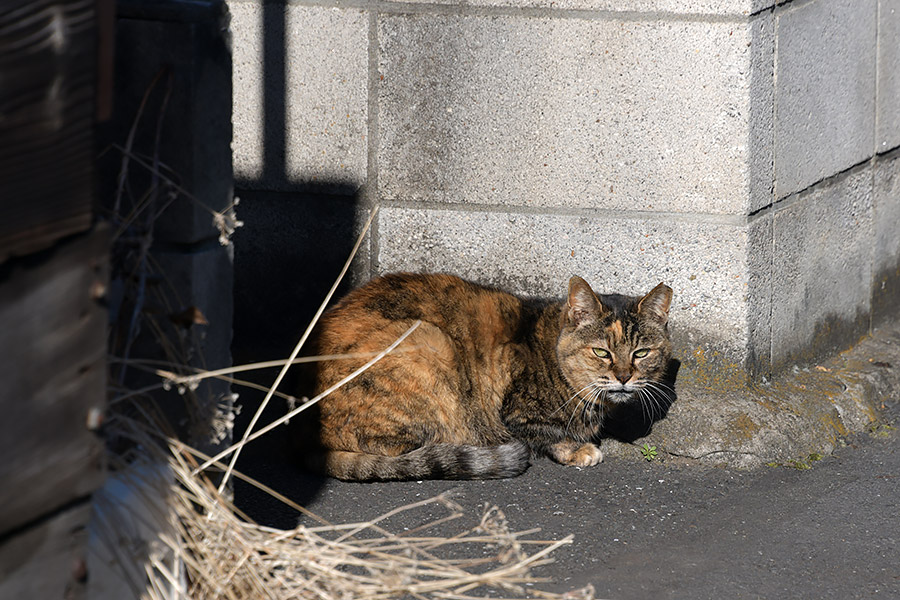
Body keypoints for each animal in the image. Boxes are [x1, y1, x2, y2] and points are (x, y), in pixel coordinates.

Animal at [290, 274, 676, 480]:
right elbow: (545, 432)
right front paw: (579, 449)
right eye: (602, 352)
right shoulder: (516, 411)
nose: (624, 376)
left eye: (641, 353)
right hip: (428, 341)